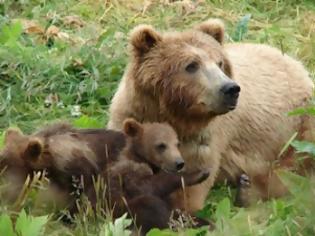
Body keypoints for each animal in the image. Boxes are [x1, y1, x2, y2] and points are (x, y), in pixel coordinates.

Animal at [107, 18, 314, 212]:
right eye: (191, 65)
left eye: (219, 63)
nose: (230, 89)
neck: (175, 116)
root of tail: (296, 63)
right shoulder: (130, 117)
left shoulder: (202, 142)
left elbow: (189, 187)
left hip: (297, 124)